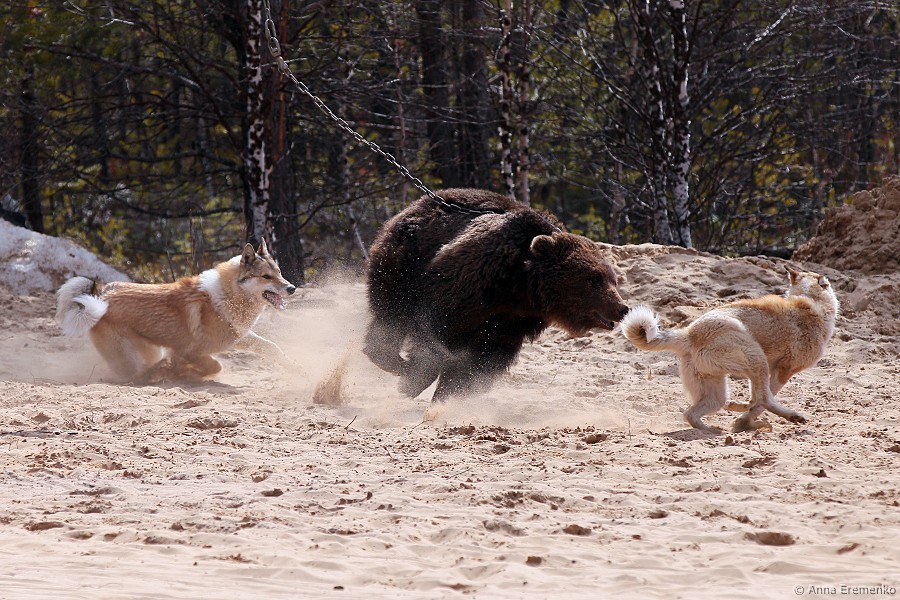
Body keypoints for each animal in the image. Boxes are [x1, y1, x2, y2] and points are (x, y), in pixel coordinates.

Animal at [56, 240, 296, 383]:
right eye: (266, 276)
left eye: (279, 272)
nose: (292, 288)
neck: (229, 295)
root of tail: (101, 294)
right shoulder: (188, 351)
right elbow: (214, 365)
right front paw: (182, 372)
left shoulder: (240, 336)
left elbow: (273, 348)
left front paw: (299, 370)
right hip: (125, 357)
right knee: (134, 375)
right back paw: (156, 373)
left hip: (149, 348)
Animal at [364, 188, 630, 401]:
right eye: (594, 279)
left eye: (613, 280)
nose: (622, 308)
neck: (521, 288)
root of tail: (415, 204)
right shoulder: (469, 284)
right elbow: (436, 334)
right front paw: (413, 378)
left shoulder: (511, 323)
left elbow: (483, 361)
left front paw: (450, 394)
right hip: (406, 261)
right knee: (392, 313)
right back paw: (392, 359)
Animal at [621, 266, 839, 433]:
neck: (812, 301)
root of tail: (689, 334)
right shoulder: (784, 371)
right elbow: (762, 400)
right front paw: (743, 421)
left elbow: (755, 400)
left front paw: (742, 417)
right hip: (755, 358)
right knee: (765, 399)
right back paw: (792, 415)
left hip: (716, 392)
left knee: (692, 413)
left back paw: (711, 429)